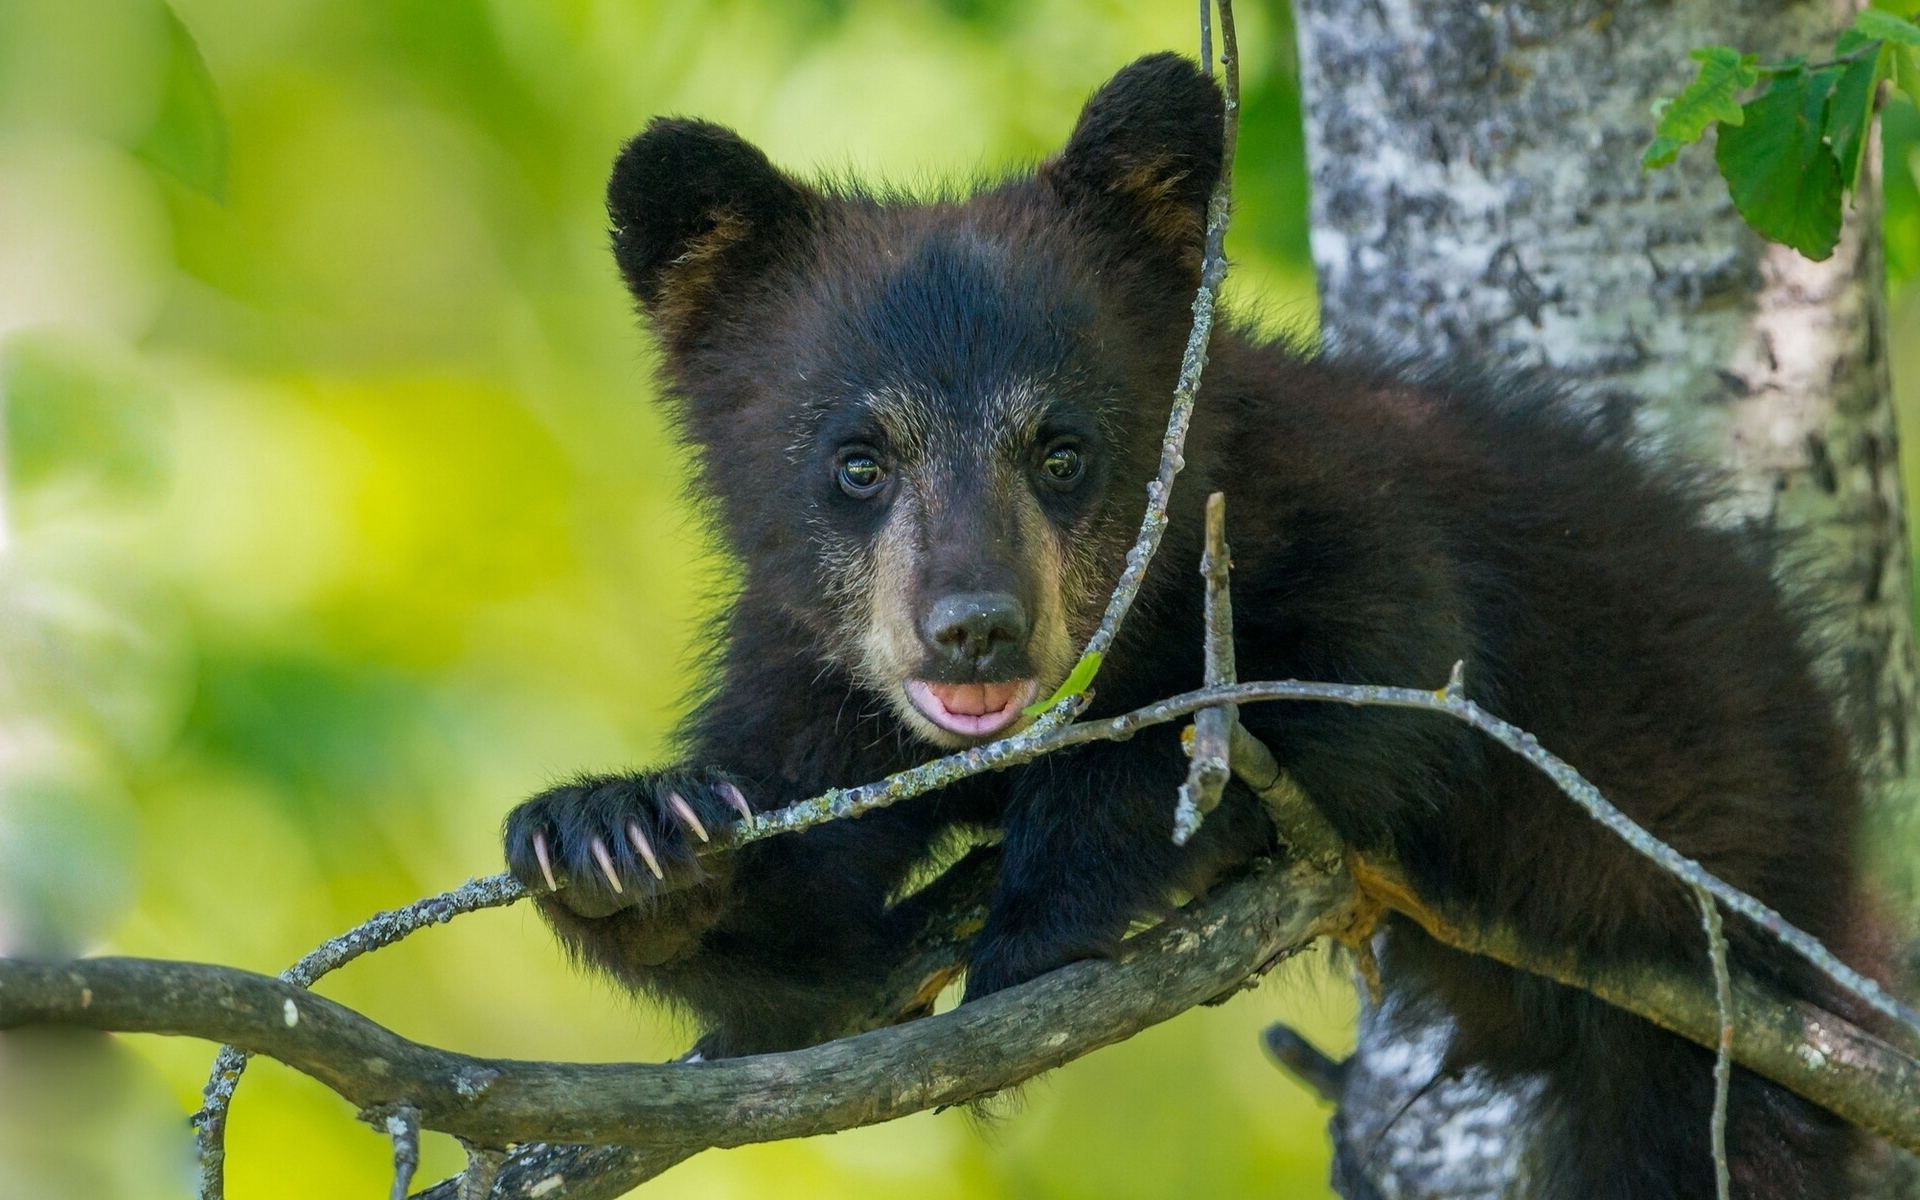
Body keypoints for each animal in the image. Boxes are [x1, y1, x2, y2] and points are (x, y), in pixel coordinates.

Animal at [503, 52, 1863, 1198]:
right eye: (856, 461)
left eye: (1062, 450)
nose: (975, 630)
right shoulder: (817, 670)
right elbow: (807, 923)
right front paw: (620, 834)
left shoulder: (1327, 509)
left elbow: (1361, 668)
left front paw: (1037, 912)